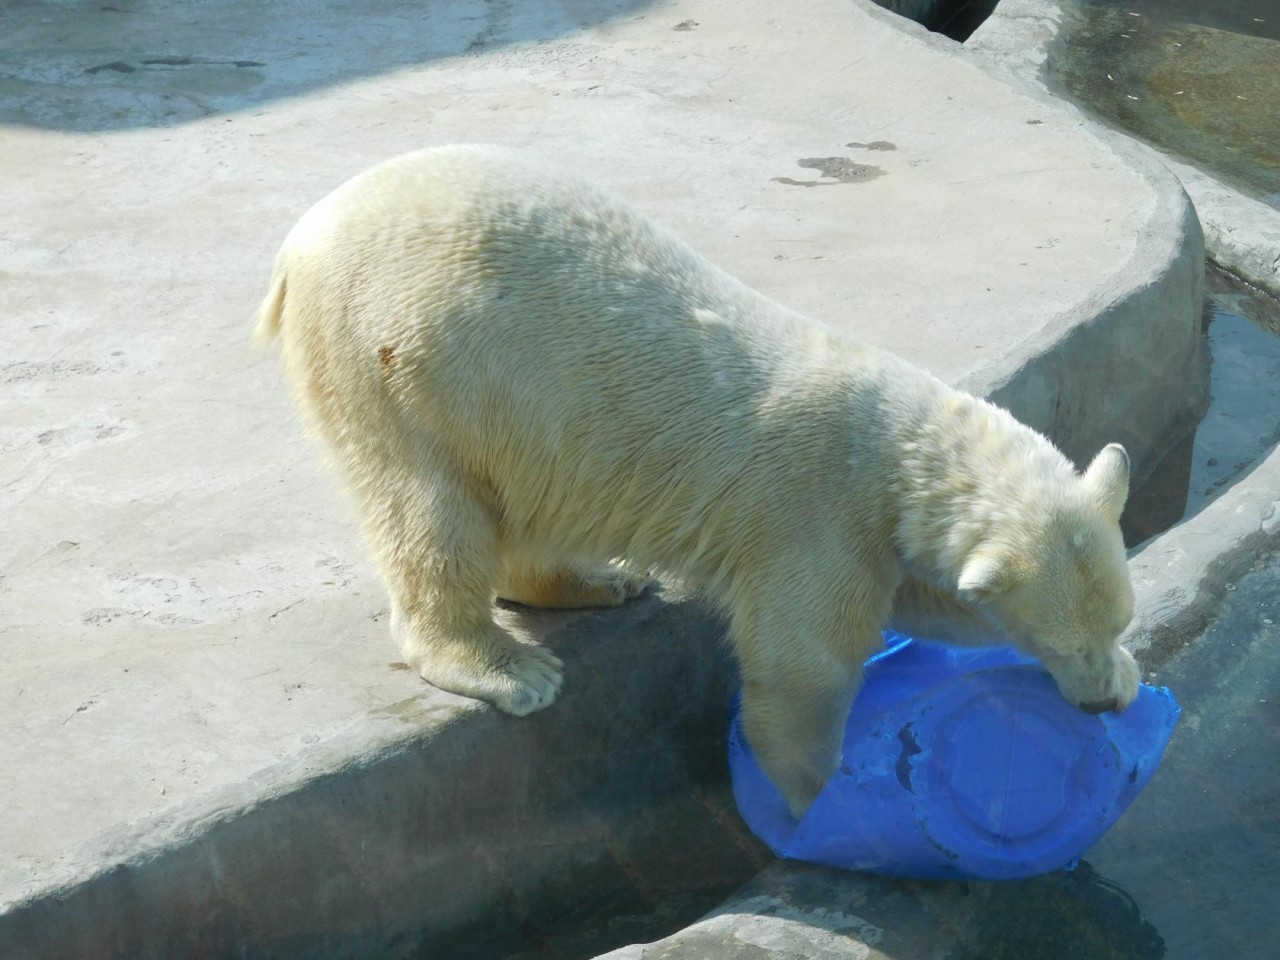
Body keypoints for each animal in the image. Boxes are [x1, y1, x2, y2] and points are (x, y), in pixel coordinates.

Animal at [254, 142, 1136, 819]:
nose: (1098, 701)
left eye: (1118, 621)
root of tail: (301, 240)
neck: (900, 443)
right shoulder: (816, 518)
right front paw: (812, 803)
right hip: (400, 361)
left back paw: (600, 580)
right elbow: (804, 665)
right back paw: (509, 666)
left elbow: (931, 600)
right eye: (1064, 639)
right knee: (427, 509)